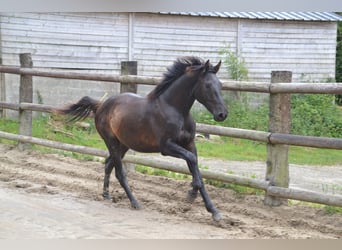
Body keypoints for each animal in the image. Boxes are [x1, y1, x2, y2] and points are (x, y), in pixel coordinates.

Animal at [57, 56, 228, 221]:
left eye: (220, 85)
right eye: (207, 85)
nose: (222, 114)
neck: (175, 110)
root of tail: (100, 105)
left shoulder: (189, 144)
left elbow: (196, 166)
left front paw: (214, 211)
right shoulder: (166, 147)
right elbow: (192, 161)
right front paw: (191, 194)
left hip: (123, 144)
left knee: (108, 164)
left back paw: (106, 194)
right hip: (111, 142)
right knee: (119, 173)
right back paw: (135, 202)